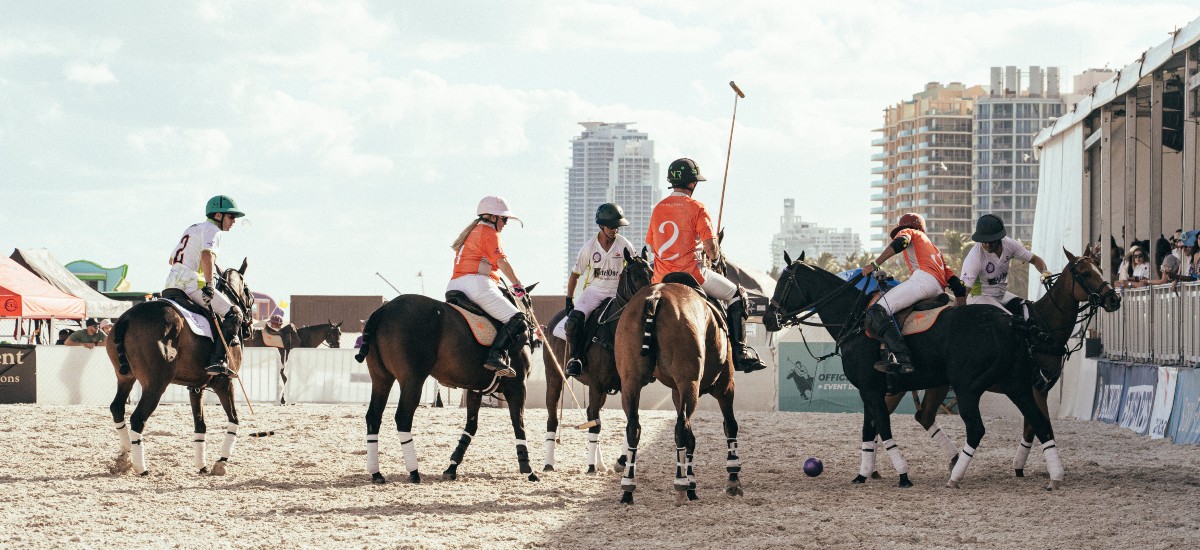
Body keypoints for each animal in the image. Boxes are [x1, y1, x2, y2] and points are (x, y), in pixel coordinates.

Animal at [108, 259, 258, 475]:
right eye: (248, 292)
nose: (250, 329)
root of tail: (128, 317)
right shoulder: (225, 382)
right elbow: (234, 419)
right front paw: (221, 462)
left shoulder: (196, 387)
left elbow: (200, 425)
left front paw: (201, 465)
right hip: (156, 384)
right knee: (137, 418)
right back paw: (140, 467)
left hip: (125, 378)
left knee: (117, 408)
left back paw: (124, 457)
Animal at [352, 283, 542, 480]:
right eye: (530, 303)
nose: (534, 335)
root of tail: (383, 310)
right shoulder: (517, 387)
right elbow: (519, 424)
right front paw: (528, 469)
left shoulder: (475, 390)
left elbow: (471, 426)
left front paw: (452, 466)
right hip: (412, 379)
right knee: (403, 418)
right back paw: (414, 472)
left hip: (381, 379)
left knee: (373, 417)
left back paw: (376, 473)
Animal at [547, 248, 657, 473]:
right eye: (634, 275)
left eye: (651, 273)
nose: (649, 302)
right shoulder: (597, 385)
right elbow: (597, 424)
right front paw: (590, 466)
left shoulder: (626, 384)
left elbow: (629, 421)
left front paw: (621, 461)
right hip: (554, 376)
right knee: (553, 417)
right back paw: (549, 464)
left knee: (591, 413)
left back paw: (600, 463)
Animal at [614, 264, 744, 504]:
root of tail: (655, 298)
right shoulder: (724, 385)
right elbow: (729, 425)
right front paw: (732, 478)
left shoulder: (676, 392)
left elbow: (691, 439)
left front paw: (693, 483)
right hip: (690, 383)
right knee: (680, 428)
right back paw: (680, 484)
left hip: (631, 382)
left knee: (634, 427)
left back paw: (628, 487)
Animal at [763, 250, 1084, 487]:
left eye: (784, 282)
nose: (768, 319)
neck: (854, 319)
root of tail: (1011, 320)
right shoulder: (871, 390)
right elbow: (868, 430)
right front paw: (862, 474)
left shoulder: (871, 389)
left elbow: (883, 427)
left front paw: (903, 475)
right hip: (1015, 384)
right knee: (1039, 422)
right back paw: (1055, 476)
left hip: (968, 387)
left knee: (978, 429)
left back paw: (956, 477)